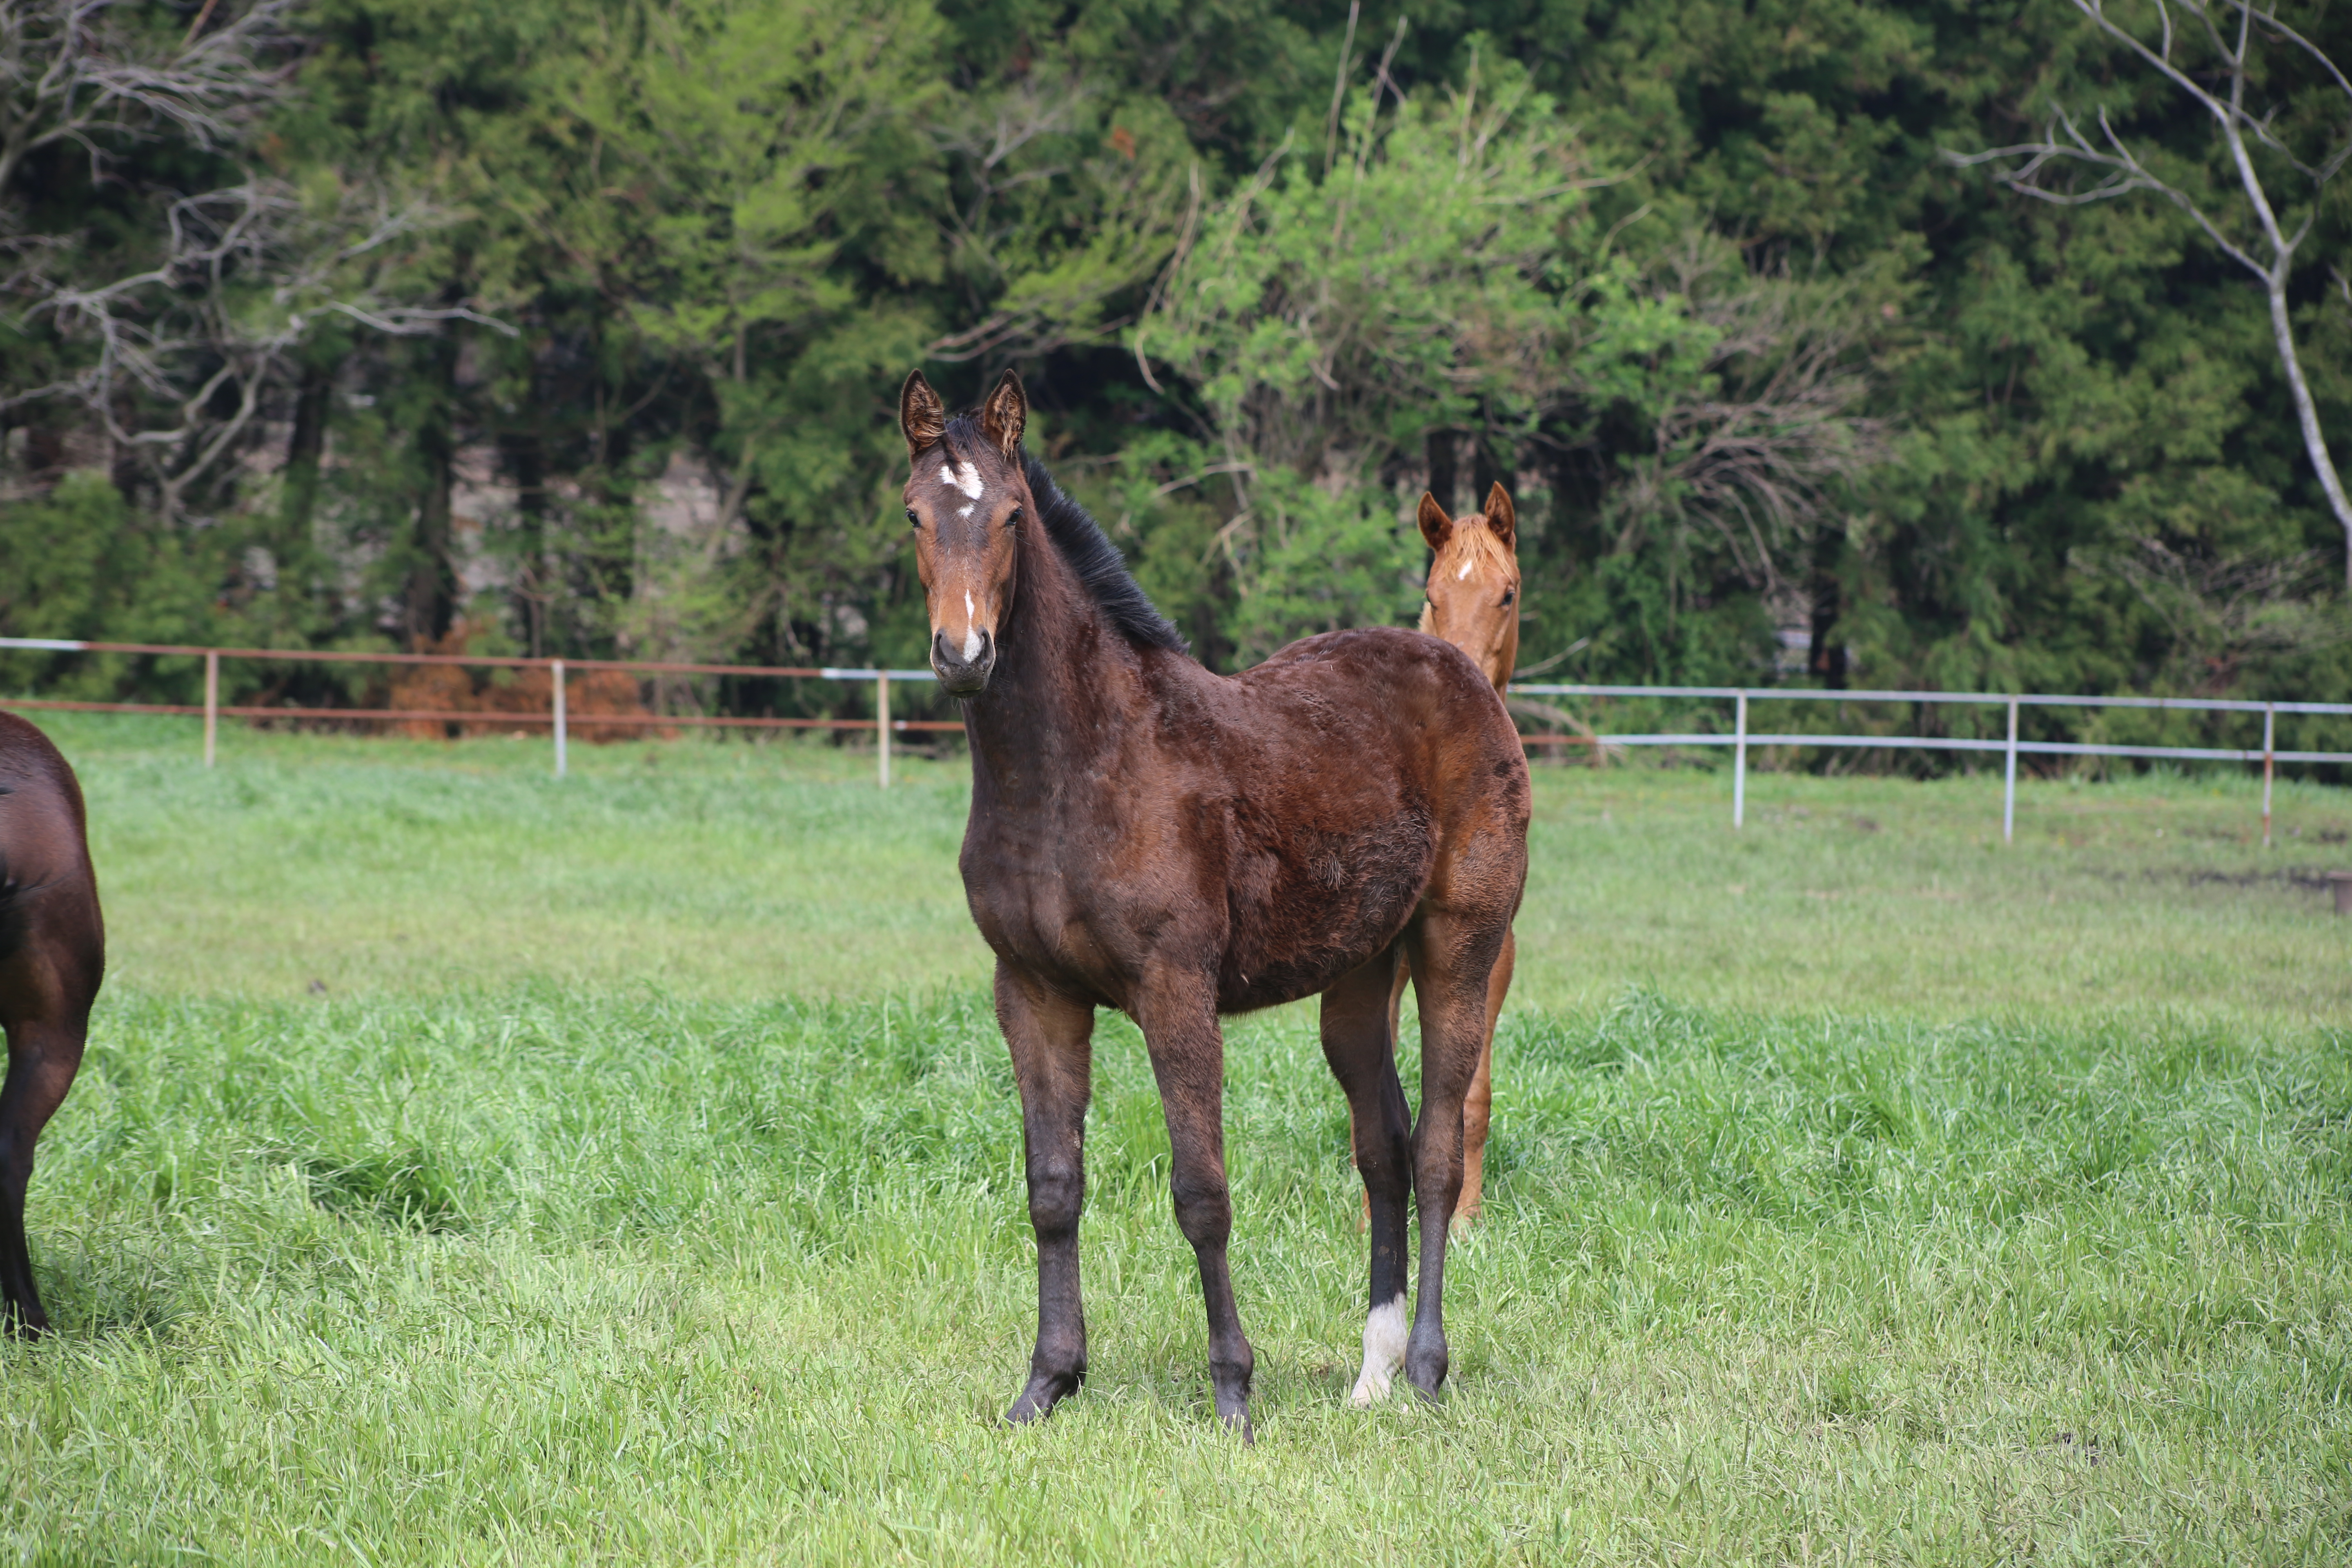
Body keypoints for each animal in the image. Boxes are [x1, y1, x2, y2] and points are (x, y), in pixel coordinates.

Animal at [893, 369, 1524, 1439]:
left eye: (1012, 515)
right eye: (914, 514)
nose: (964, 651)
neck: (1080, 764)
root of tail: (1466, 677)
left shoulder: (1174, 990)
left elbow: (1202, 1191)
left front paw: (1233, 1390)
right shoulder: (1032, 992)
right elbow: (1052, 1187)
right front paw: (1047, 1382)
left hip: (1459, 947)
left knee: (1441, 1146)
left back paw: (1427, 1366)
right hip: (1359, 979)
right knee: (1384, 1151)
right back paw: (1372, 1368)